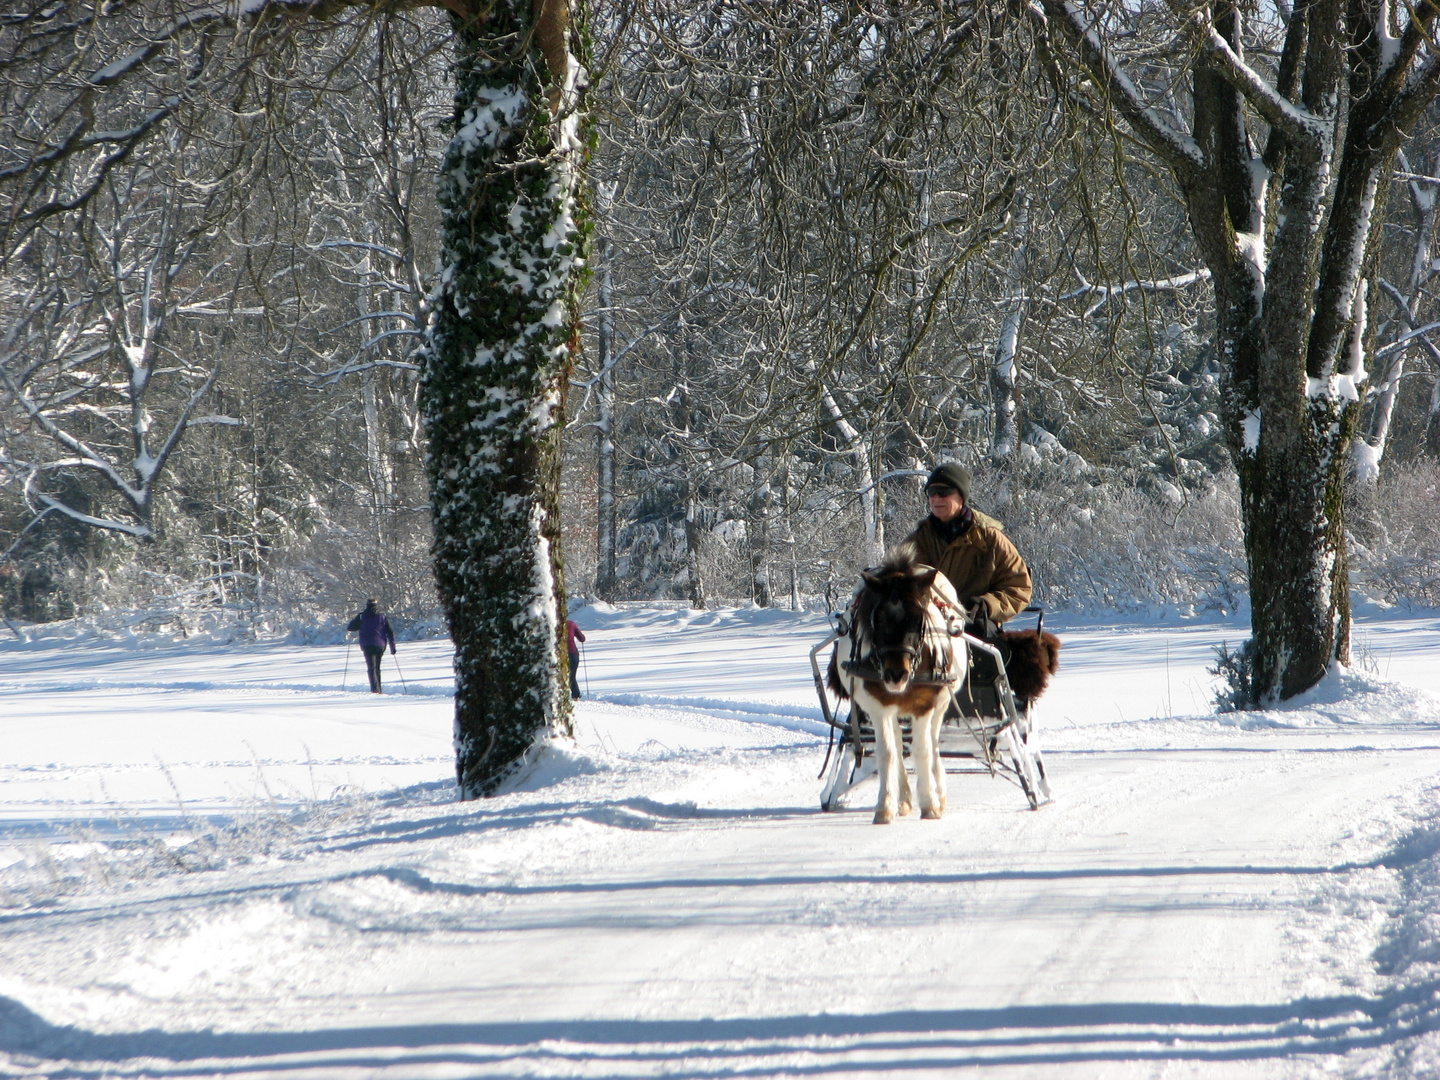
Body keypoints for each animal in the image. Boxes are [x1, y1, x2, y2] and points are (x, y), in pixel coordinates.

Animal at [823, 552, 967, 823]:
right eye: (877, 618)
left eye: (918, 618)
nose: (895, 675)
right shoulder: (878, 706)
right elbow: (888, 753)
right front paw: (885, 806)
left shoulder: (924, 705)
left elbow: (922, 750)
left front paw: (930, 805)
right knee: (899, 744)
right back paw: (903, 800)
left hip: (942, 702)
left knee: (933, 743)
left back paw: (939, 793)